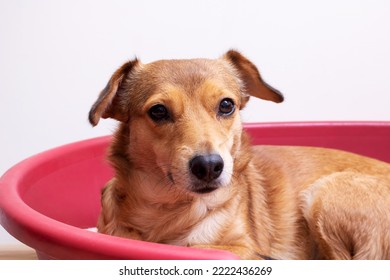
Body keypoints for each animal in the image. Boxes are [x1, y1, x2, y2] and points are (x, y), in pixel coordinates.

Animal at [88, 49, 390, 260]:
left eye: (226, 105)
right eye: (158, 111)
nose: (209, 166)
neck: (172, 212)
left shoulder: (241, 245)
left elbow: (207, 247)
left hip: (324, 195)